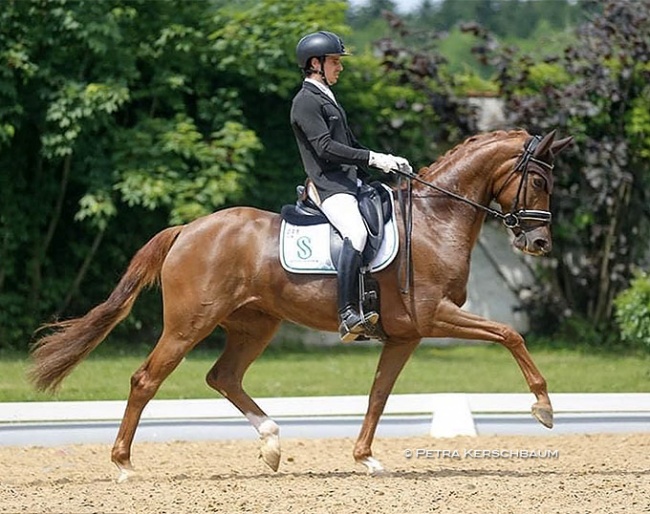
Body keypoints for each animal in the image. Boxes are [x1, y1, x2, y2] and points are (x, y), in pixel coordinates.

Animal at [29, 129, 573, 482]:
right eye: (540, 182)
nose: (540, 243)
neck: (434, 220)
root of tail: (187, 229)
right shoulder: (435, 315)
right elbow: (510, 333)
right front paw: (543, 407)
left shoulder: (406, 335)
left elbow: (379, 395)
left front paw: (365, 458)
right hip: (189, 325)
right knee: (147, 380)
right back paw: (123, 464)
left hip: (255, 326)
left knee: (223, 376)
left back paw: (271, 443)